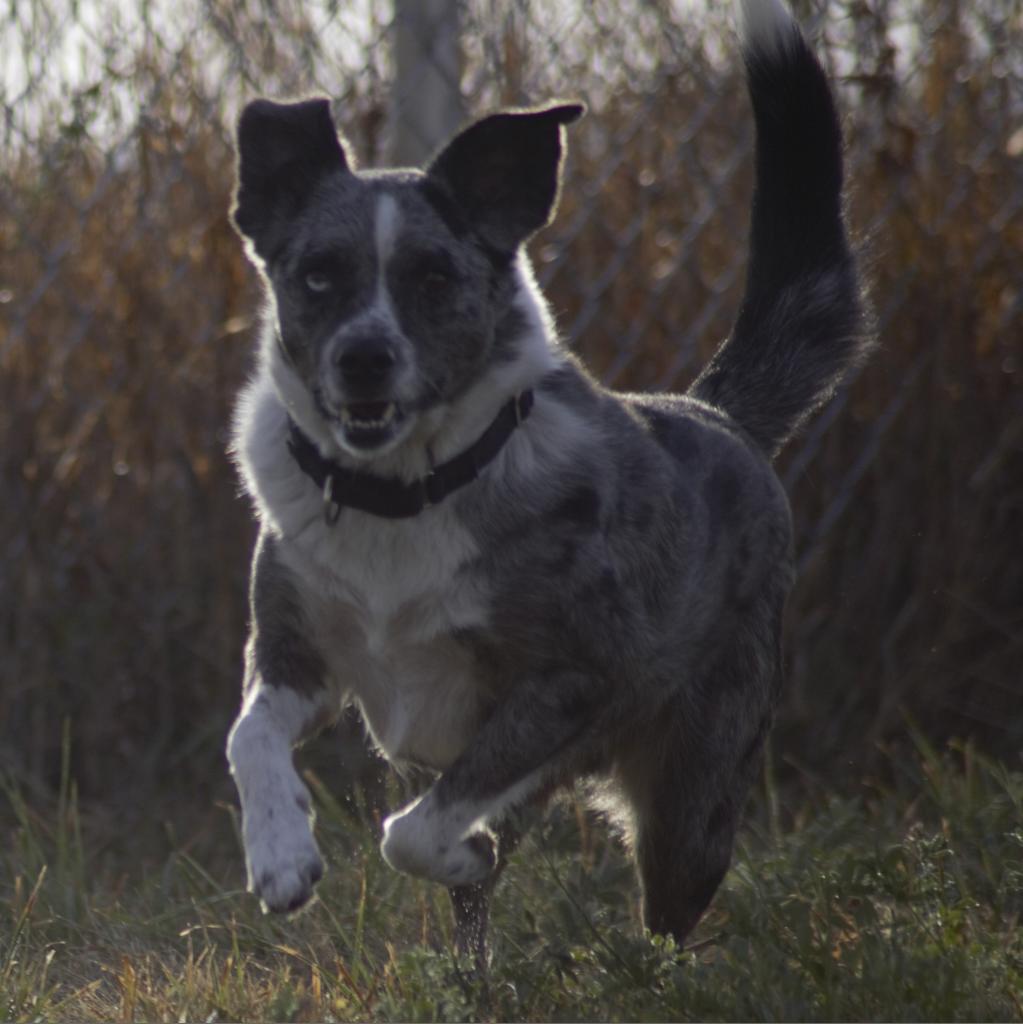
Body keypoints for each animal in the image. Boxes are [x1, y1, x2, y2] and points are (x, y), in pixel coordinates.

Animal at [224, 0, 872, 958]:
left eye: (433, 277)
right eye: (317, 275)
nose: (362, 361)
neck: (405, 491)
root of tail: (712, 412)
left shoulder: (567, 686)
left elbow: (416, 830)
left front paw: (459, 848)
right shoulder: (294, 654)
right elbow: (250, 737)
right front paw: (279, 856)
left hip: (693, 801)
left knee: (669, 906)